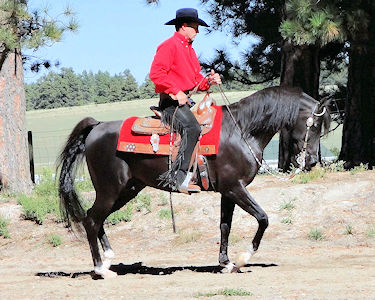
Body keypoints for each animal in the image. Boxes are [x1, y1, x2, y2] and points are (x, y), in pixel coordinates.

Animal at [57, 85, 330, 278]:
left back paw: (108, 259)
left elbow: (225, 226)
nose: (311, 161)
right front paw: (244, 257)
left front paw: (226, 263)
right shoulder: (235, 188)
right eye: (315, 123)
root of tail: (97, 127)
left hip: (128, 189)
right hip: (110, 189)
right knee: (91, 220)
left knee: (96, 218)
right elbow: (263, 218)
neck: (242, 130)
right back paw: (100, 269)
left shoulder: (227, 191)